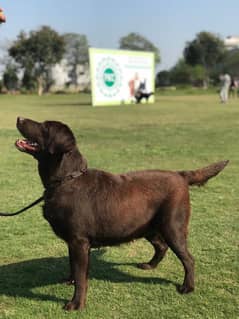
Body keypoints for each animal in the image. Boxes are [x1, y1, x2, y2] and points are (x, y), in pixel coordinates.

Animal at [15, 117, 229, 312]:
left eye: (44, 126)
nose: (19, 118)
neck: (66, 179)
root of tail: (181, 175)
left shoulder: (79, 241)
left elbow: (81, 276)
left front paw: (76, 304)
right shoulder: (73, 241)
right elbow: (74, 268)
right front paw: (70, 280)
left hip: (173, 226)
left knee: (188, 258)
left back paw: (187, 287)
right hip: (147, 226)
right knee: (161, 246)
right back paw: (150, 265)